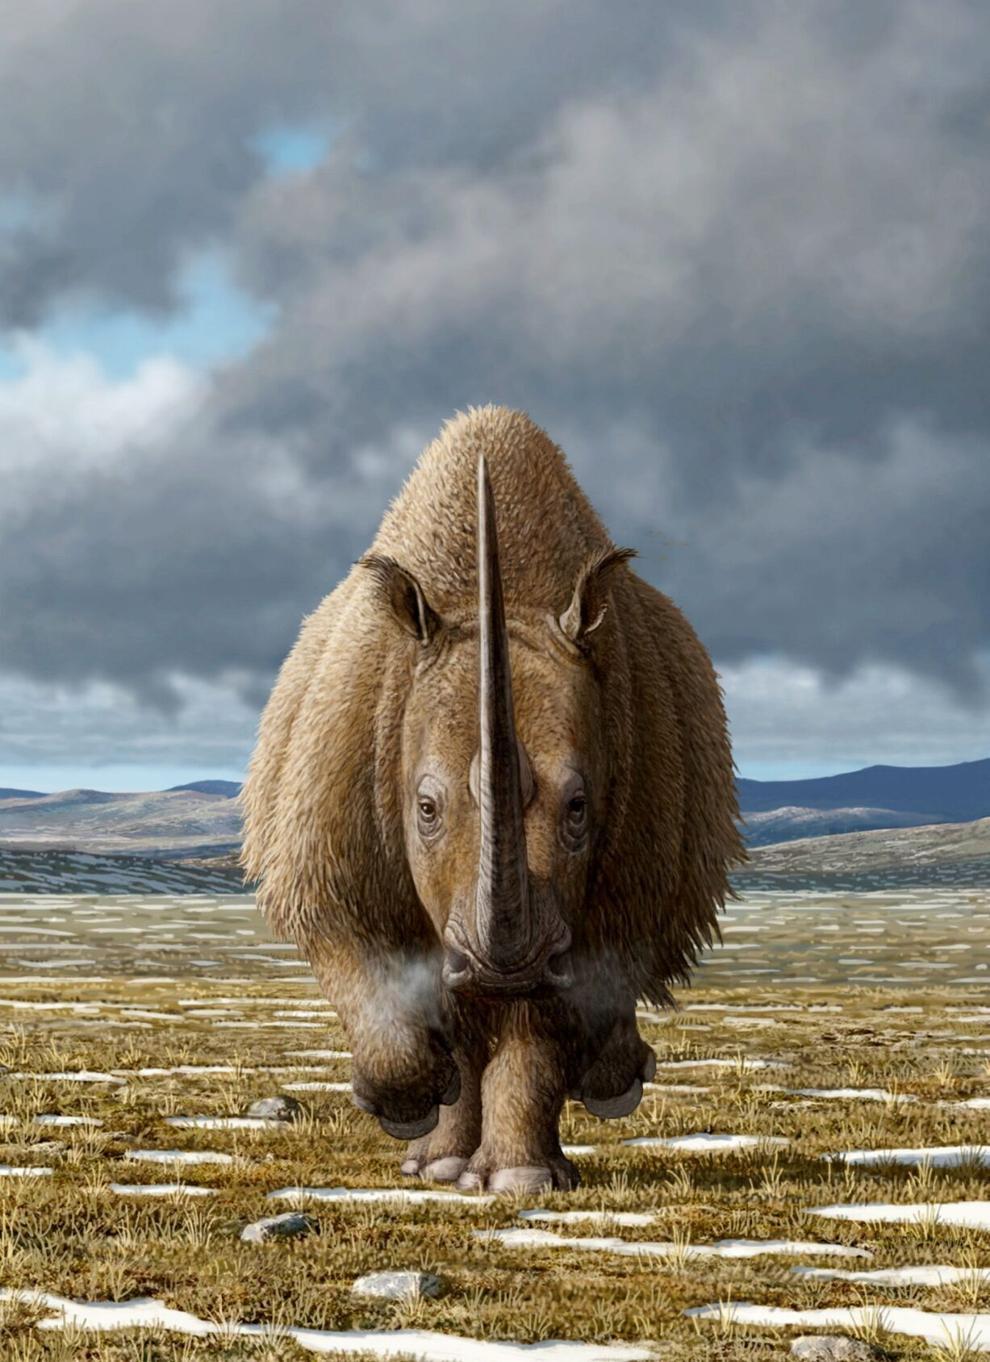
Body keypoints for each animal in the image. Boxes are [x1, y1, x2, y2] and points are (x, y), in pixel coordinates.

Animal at [241, 405, 746, 1193]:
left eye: (579, 808)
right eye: (424, 808)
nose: (502, 965)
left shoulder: (622, 884)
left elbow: (546, 1027)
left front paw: (524, 1183)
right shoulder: (327, 852)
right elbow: (371, 971)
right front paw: (406, 1107)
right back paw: (436, 1162)